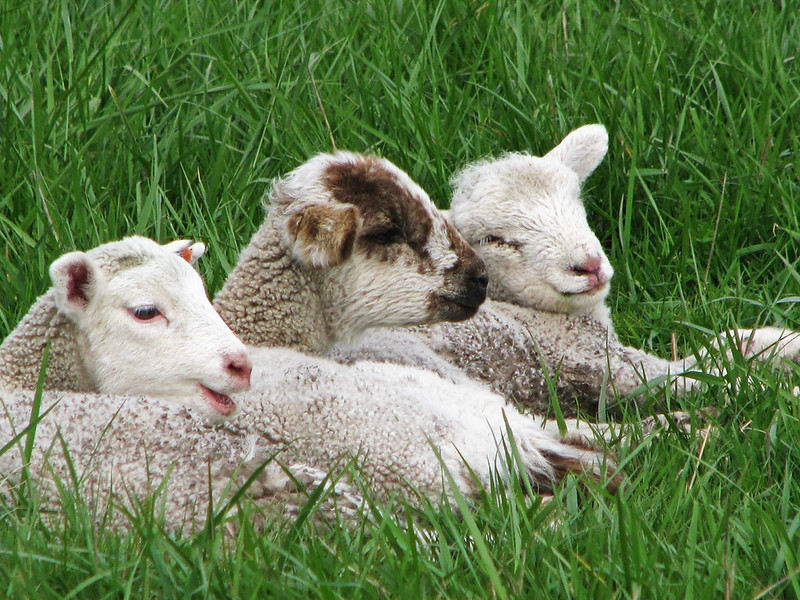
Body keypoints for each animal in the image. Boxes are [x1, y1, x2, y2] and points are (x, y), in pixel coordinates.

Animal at [332, 126, 800, 418]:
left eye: (576, 200)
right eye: (495, 239)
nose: (588, 266)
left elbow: (725, 345)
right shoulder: (598, 361)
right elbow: (712, 367)